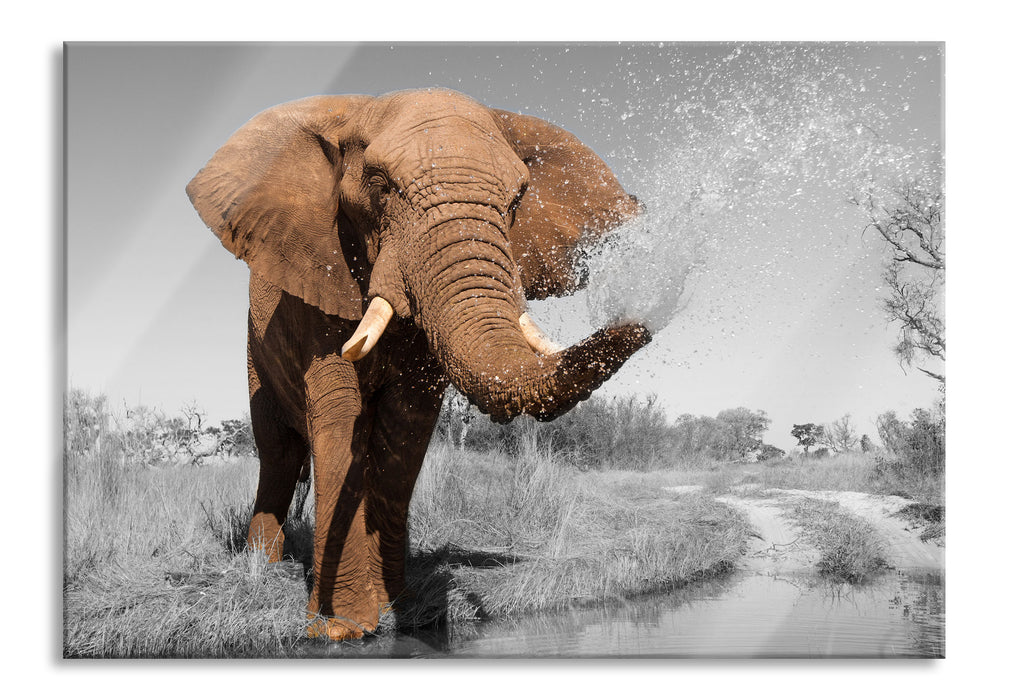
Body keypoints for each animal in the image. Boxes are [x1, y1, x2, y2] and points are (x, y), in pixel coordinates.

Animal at [186, 88, 652, 640]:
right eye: (379, 186)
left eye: (517, 200)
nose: (645, 315)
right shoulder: (319, 276)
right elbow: (340, 415)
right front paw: (341, 629)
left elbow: (406, 426)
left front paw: (402, 611)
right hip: (255, 349)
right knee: (277, 450)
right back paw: (263, 564)